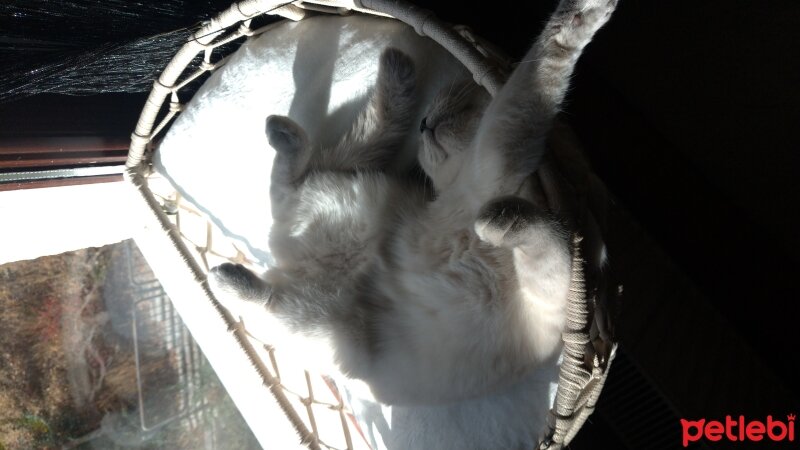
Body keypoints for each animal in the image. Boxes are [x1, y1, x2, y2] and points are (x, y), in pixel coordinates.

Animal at [209, 0, 616, 444]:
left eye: (453, 111)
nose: (425, 125)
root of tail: (289, 259)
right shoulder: (497, 152)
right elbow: (540, 74)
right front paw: (581, 19)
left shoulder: (547, 270)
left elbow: (549, 235)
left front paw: (498, 222)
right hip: (333, 265)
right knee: (291, 194)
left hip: (346, 216)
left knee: (306, 178)